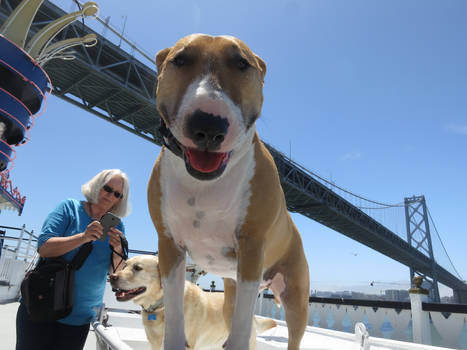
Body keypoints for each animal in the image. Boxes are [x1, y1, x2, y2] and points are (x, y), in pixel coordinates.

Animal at [148, 34, 310, 350]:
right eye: (180, 60)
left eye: (241, 63)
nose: (208, 125)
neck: (205, 184)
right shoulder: (169, 245)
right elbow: (174, 309)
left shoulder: (252, 247)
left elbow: (243, 324)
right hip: (229, 297)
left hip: (296, 297)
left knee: (291, 335)